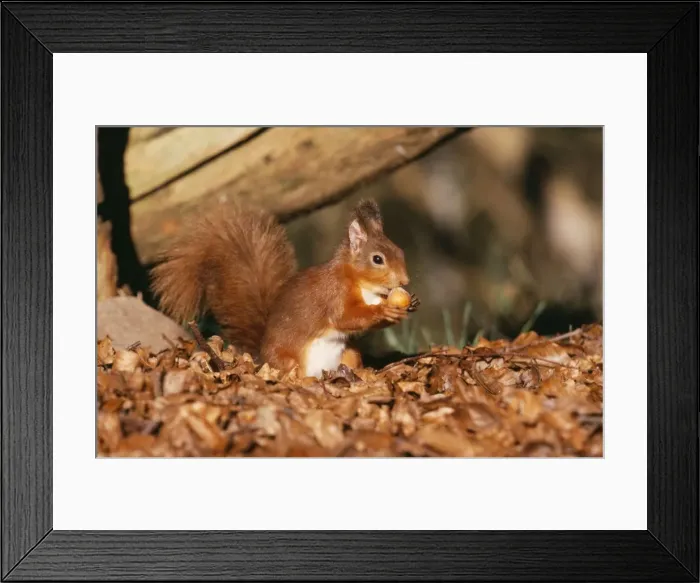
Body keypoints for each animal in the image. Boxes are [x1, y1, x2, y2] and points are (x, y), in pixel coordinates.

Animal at [150, 198, 418, 379]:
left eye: (400, 251)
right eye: (377, 259)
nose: (404, 281)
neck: (364, 286)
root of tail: (261, 360)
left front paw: (407, 306)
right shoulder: (334, 294)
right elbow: (346, 317)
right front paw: (384, 311)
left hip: (348, 354)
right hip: (288, 362)